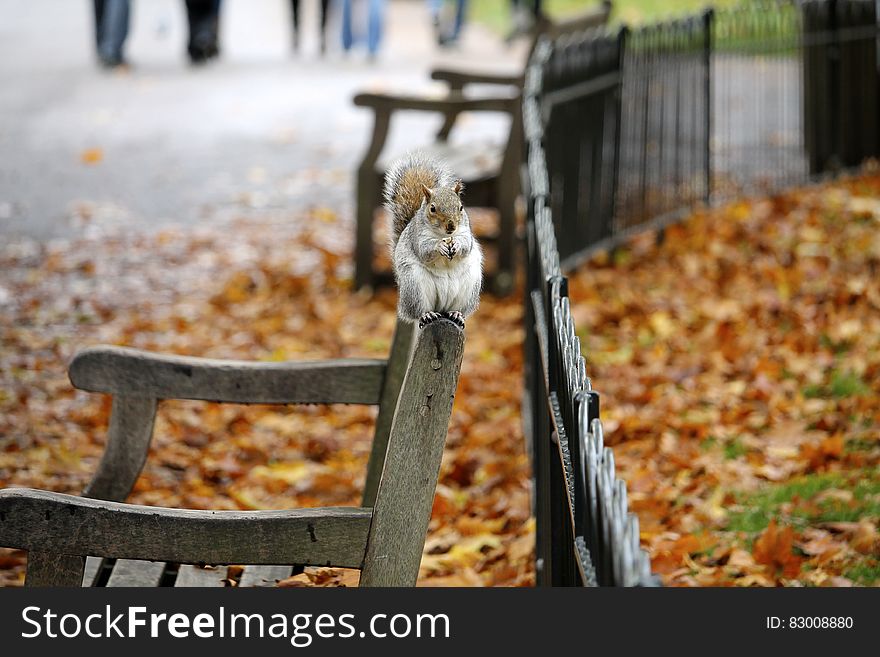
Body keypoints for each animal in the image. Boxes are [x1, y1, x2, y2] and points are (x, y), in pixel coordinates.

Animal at [384, 152, 482, 328]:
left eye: (461, 207)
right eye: (433, 208)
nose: (451, 226)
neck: (444, 235)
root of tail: (441, 307)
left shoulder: (466, 233)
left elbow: (466, 246)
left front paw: (457, 244)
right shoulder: (418, 237)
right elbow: (424, 251)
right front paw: (439, 246)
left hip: (470, 287)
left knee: (460, 309)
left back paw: (457, 314)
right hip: (414, 286)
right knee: (418, 311)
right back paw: (427, 315)